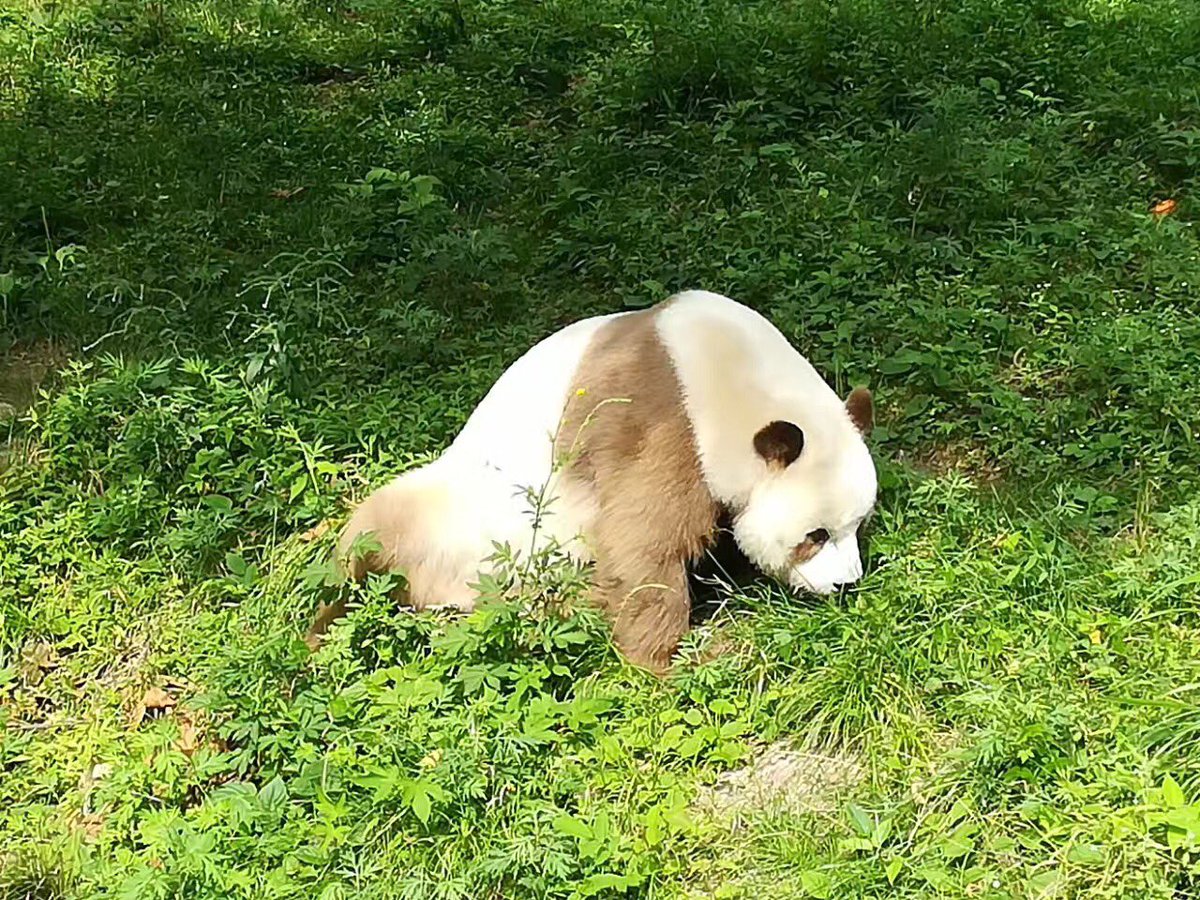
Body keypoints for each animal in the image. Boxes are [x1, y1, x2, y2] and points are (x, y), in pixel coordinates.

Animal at [321, 290, 877, 672]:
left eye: (858, 525)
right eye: (815, 535)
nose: (846, 584)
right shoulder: (660, 418)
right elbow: (641, 540)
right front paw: (663, 659)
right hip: (452, 520)